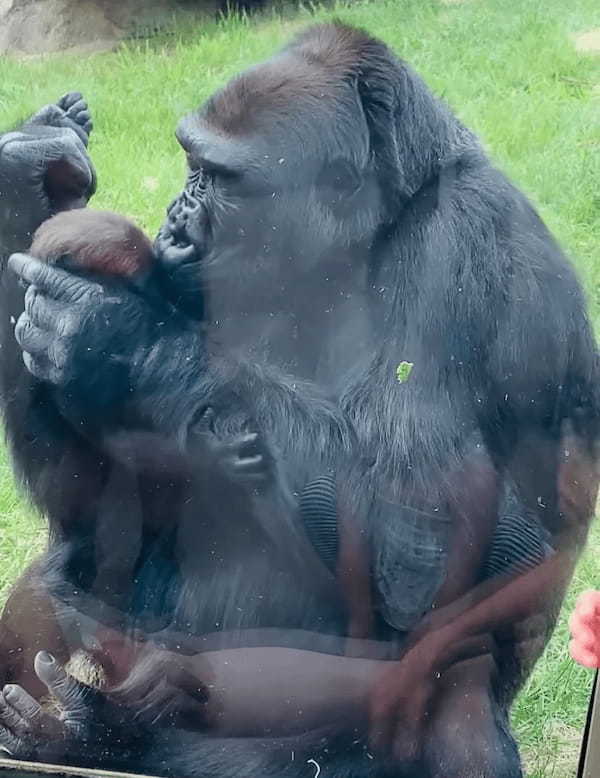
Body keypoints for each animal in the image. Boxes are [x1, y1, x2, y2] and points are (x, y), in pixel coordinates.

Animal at [0, 21, 596, 776]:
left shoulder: (467, 245)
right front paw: (28, 175)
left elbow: (430, 544)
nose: (173, 220)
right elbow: (95, 513)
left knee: (450, 684)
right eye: (190, 164)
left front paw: (118, 334)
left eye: (219, 178)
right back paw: (88, 735)